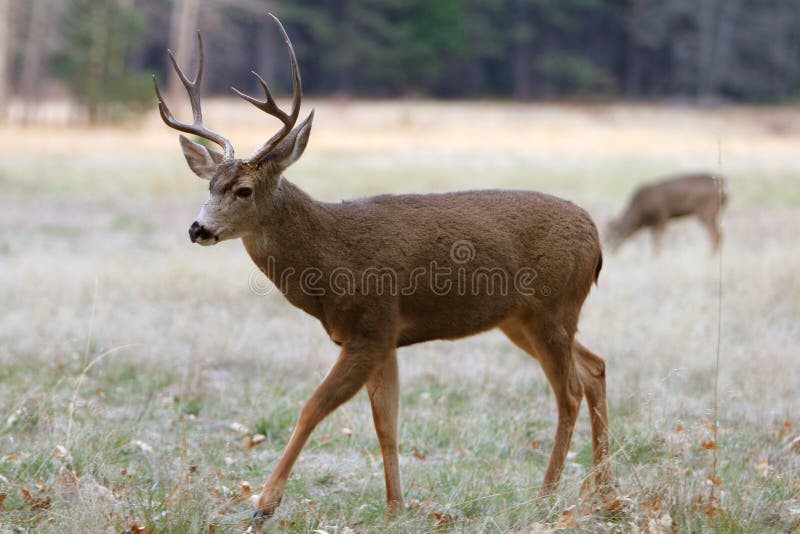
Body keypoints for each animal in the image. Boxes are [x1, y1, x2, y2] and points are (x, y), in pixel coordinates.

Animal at [153, 14, 616, 528]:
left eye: (244, 190)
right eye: (209, 184)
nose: (197, 228)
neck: (330, 257)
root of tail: (596, 238)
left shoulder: (371, 327)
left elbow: (313, 408)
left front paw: (263, 505)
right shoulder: (384, 337)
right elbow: (386, 424)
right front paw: (396, 508)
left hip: (553, 307)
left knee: (569, 391)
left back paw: (547, 496)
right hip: (522, 319)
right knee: (595, 368)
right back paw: (604, 494)